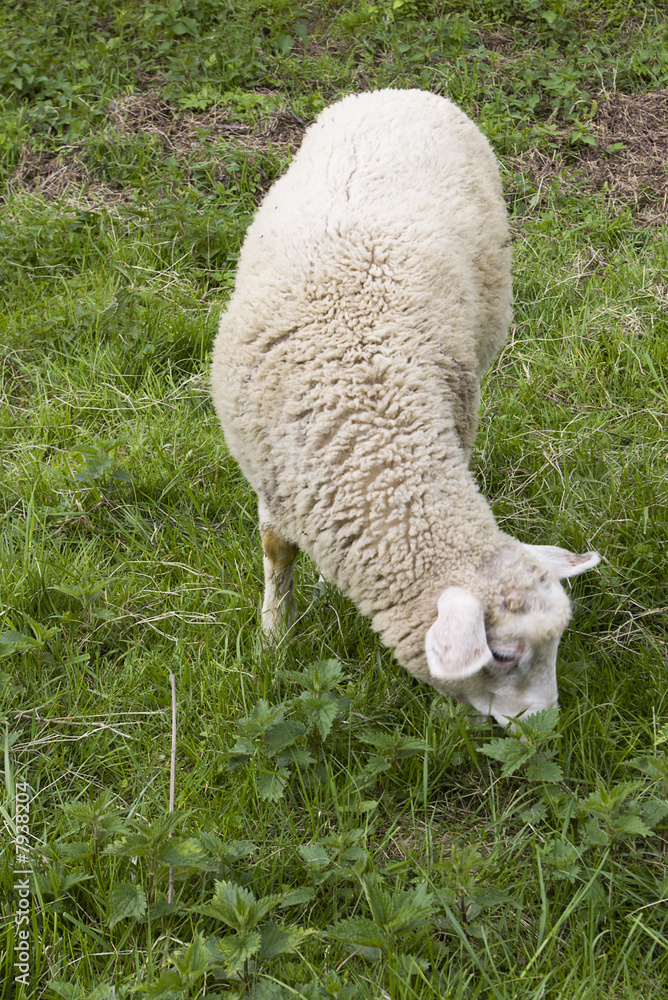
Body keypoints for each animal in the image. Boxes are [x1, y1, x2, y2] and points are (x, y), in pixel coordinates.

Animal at [210, 88, 600, 727]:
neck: (374, 439)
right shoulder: (274, 477)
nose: (545, 729)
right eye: (502, 654)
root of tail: (402, 91)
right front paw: (273, 639)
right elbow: (276, 554)